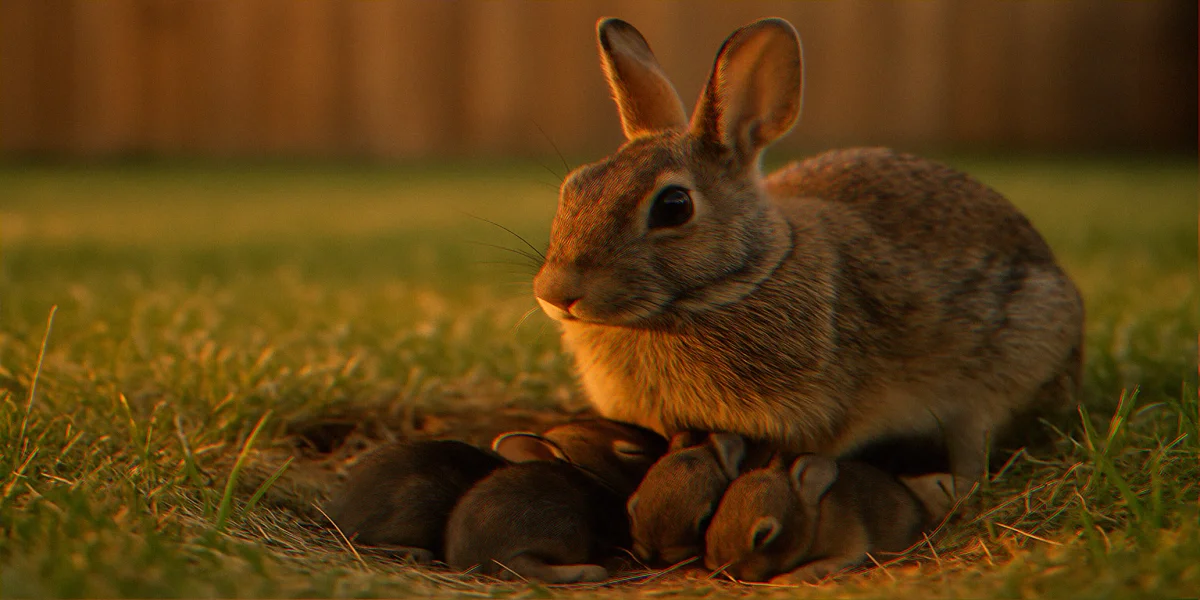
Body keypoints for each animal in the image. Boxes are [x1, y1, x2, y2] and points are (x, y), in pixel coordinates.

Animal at [531, 17, 1084, 497]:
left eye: (674, 206)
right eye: (575, 185)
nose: (556, 293)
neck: (740, 281)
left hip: (1000, 369)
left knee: (975, 455)